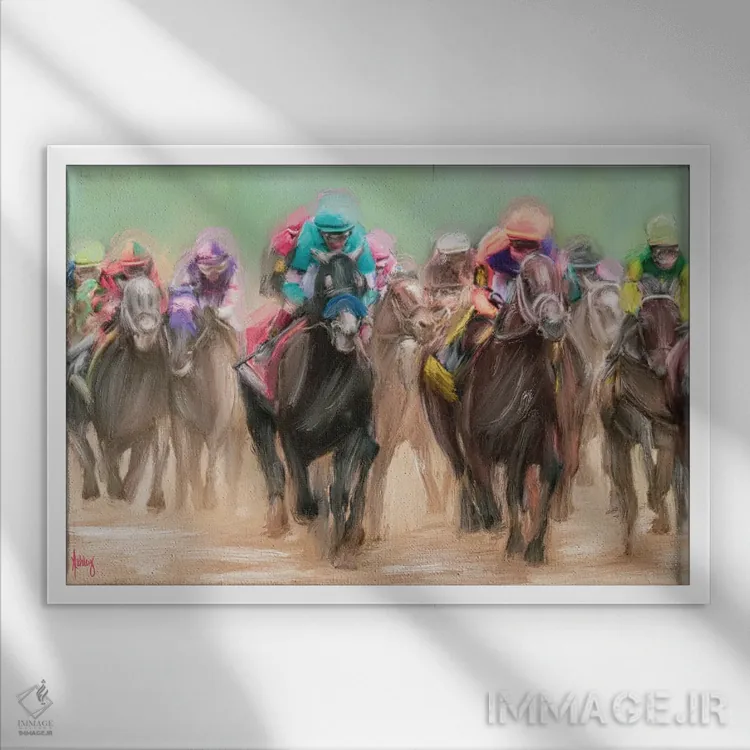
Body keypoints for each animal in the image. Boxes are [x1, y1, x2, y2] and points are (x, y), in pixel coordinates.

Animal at [87, 276, 171, 509]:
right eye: (127, 300)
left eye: (156, 297)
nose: (147, 328)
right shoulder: (106, 428)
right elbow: (110, 460)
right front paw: (115, 491)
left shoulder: (150, 423)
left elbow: (143, 462)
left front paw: (151, 500)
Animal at [166, 298, 245, 512]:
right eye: (169, 321)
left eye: (196, 320)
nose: (178, 361)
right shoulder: (182, 422)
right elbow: (184, 464)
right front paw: (182, 504)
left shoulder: (220, 423)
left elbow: (212, 460)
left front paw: (210, 500)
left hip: (237, 431)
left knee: (233, 470)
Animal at [239, 251, 379, 564]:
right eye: (325, 285)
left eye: (360, 283)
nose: (348, 331)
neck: (325, 379)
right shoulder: (290, 433)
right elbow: (305, 499)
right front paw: (315, 525)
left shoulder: (354, 432)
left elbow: (340, 490)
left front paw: (342, 542)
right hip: (255, 412)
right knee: (270, 459)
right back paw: (277, 519)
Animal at [421, 253, 587, 564]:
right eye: (527, 281)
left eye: (560, 280)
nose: (554, 323)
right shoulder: (477, 439)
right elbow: (493, 483)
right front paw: (504, 531)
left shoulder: (535, 429)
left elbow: (538, 479)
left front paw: (533, 546)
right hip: (440, 424)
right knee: (460, 466)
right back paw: (472, 518)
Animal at [598, 276, 682, 554]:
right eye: (644, 322)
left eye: (677, 320)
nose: (663, 367)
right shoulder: (634, 420)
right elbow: (646, 455)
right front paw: (656, 507)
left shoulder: (668, 429)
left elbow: (665, 467)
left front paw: (660, 513)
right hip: (616, 437)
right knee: (621, 477)